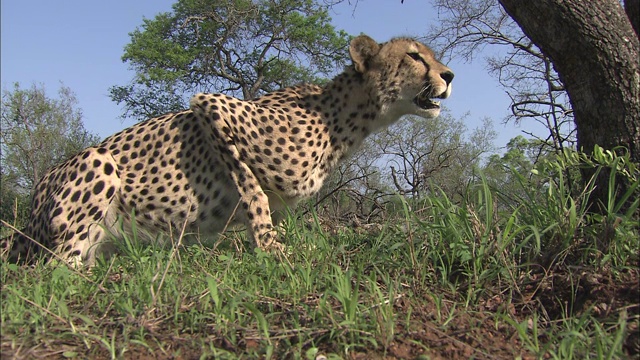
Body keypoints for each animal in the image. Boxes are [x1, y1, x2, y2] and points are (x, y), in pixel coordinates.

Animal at [3, 35, 456, 266]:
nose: (450, 75)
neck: (346, 118)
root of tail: (31, 204)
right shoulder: (212, 105)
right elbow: (253, 192)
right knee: (54, 272)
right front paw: (271, 248)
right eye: (415, 57)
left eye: (434, 58)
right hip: (96, 164)